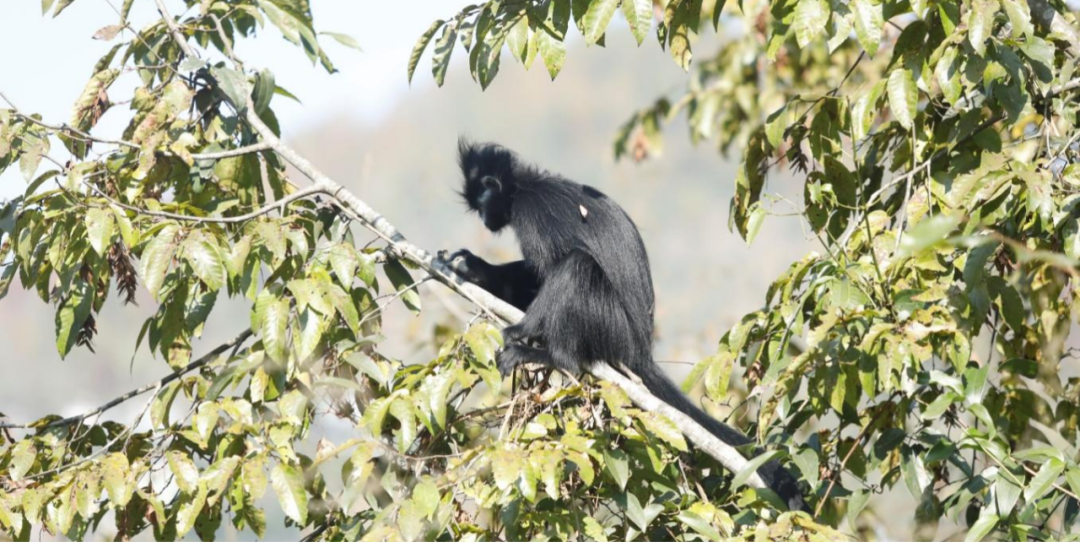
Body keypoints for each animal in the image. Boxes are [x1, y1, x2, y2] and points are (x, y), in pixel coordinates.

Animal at [442, 140, 807, 511]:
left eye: (481, 205)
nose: (486, 220)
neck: (524, 187)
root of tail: (639, 350)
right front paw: (475, 270)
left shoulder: (532, 215)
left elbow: (547, 269)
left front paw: (521, 330)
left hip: (612, 327)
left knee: (577, 266)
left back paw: (555, 356)